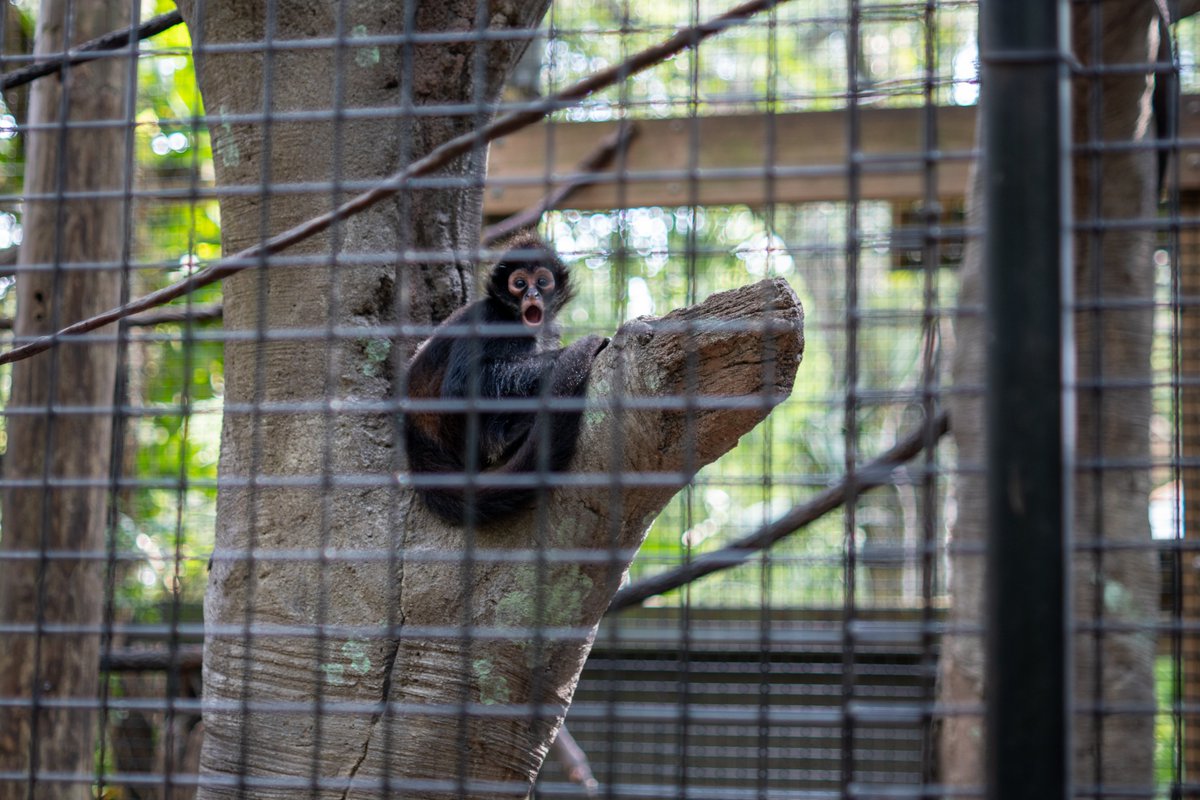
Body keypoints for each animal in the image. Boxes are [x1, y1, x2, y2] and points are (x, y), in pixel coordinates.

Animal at [403, 233, 607, 525]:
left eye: (542, 282)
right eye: (519, 283)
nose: (532, 294)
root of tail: (413, 432)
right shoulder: (489, 317)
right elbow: (460, 387)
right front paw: (565, 354)